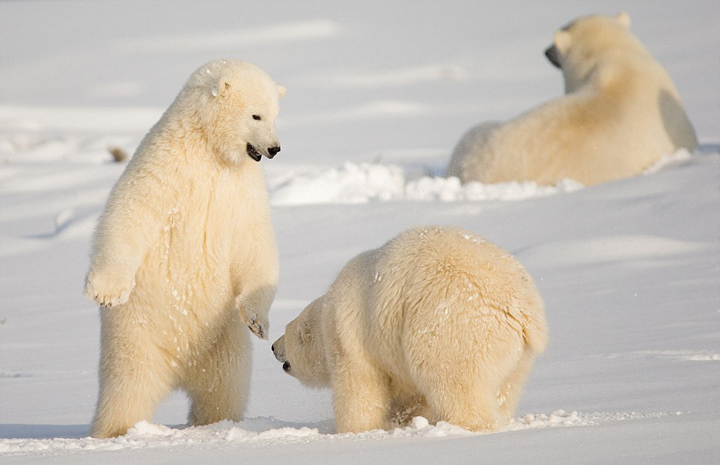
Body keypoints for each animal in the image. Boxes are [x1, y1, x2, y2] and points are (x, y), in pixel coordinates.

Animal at [86, 59, 286, 436]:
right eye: (256, 115)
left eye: (275, 114)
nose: (275, 148)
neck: (208, 149)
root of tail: (180, 368)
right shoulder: (165, 165)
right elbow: (131, 211)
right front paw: (107, 290)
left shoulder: (242, 187)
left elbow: (255, 241)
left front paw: (258, 321)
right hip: (136, 336)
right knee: (126, 389)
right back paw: (118, 430)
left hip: (222, 341)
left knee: (224, 388)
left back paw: (216, 422)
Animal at [272, 225, 548, 432]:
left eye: (287, 333)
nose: (274, 347)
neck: (326, 315)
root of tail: (522, 308)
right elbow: (410, 398)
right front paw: (402, 421)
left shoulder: (351, 339)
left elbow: (360, 389)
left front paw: (356, 429)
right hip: (517, 356)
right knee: (506, 389)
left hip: (455, 328)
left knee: (454, 381)